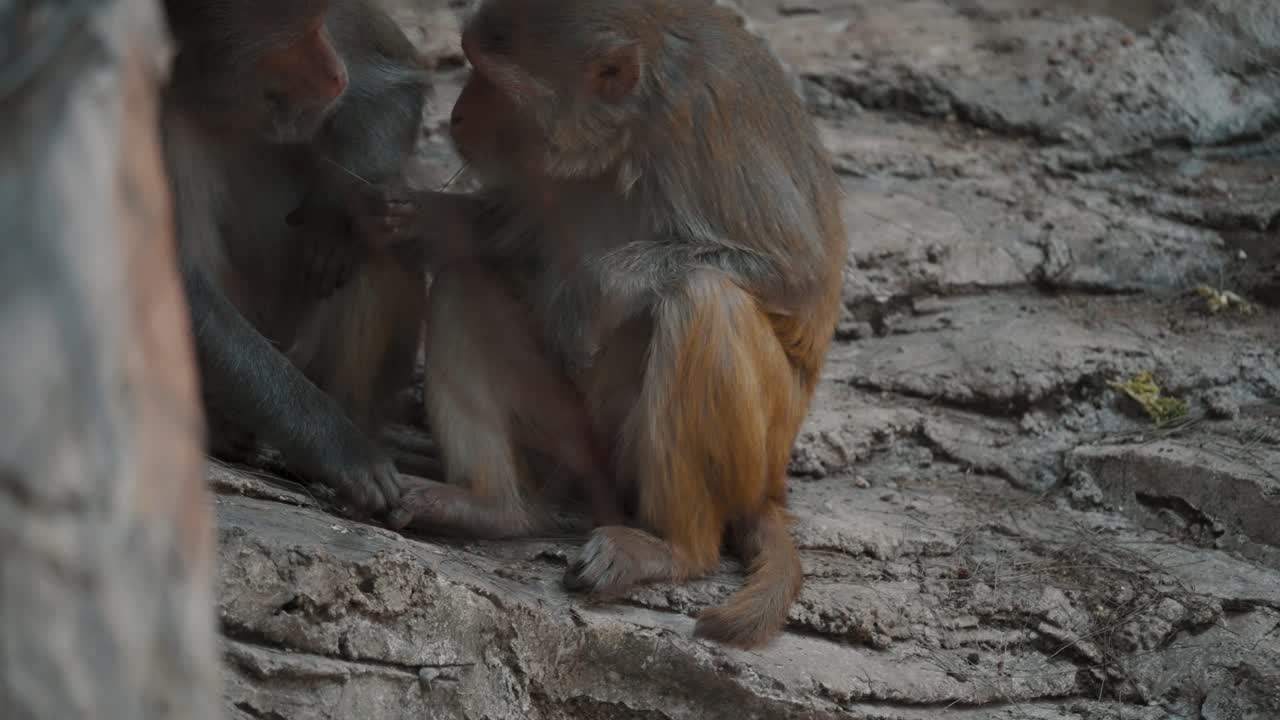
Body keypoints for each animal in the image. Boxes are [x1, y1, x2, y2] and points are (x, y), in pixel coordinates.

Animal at [159, 0, 433, 518]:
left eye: (320, 22)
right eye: (293, 40)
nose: (336, 73)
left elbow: (397, 79)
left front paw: (332, 216)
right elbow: (176, 287)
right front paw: (341, 448)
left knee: (384, 218)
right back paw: (225, 427)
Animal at [379, 0, 847, 649]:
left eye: (494, 83)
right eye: (470, 63)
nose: (457, 114)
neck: (629, 132)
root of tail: (770, 490)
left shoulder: (703, 121)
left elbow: (796, 276)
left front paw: (591, 294)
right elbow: (510, 235)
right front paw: (434, 217)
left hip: (755, 447)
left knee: (702, 297)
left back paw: (674, 548)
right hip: (573, 440)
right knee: (461, 283)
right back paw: (491, 506)